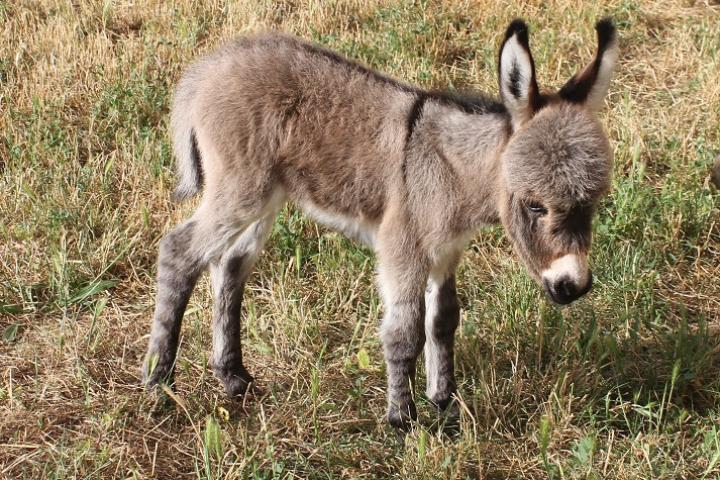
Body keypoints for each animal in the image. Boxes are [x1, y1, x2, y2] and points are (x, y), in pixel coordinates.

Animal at [142, 20, 620, 430]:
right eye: (535, 206)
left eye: (593, 202)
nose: (572, 286)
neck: (453, 171)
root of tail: (206, 68)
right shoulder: (402, 249)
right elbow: (405, 331)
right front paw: (402, 419)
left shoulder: (446, 252)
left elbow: (443, 320)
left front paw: (445, 404)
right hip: (242, 189)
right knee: (180, 251)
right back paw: (159, 382)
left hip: (267, 198)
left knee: (229, 264)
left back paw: (231, 375)